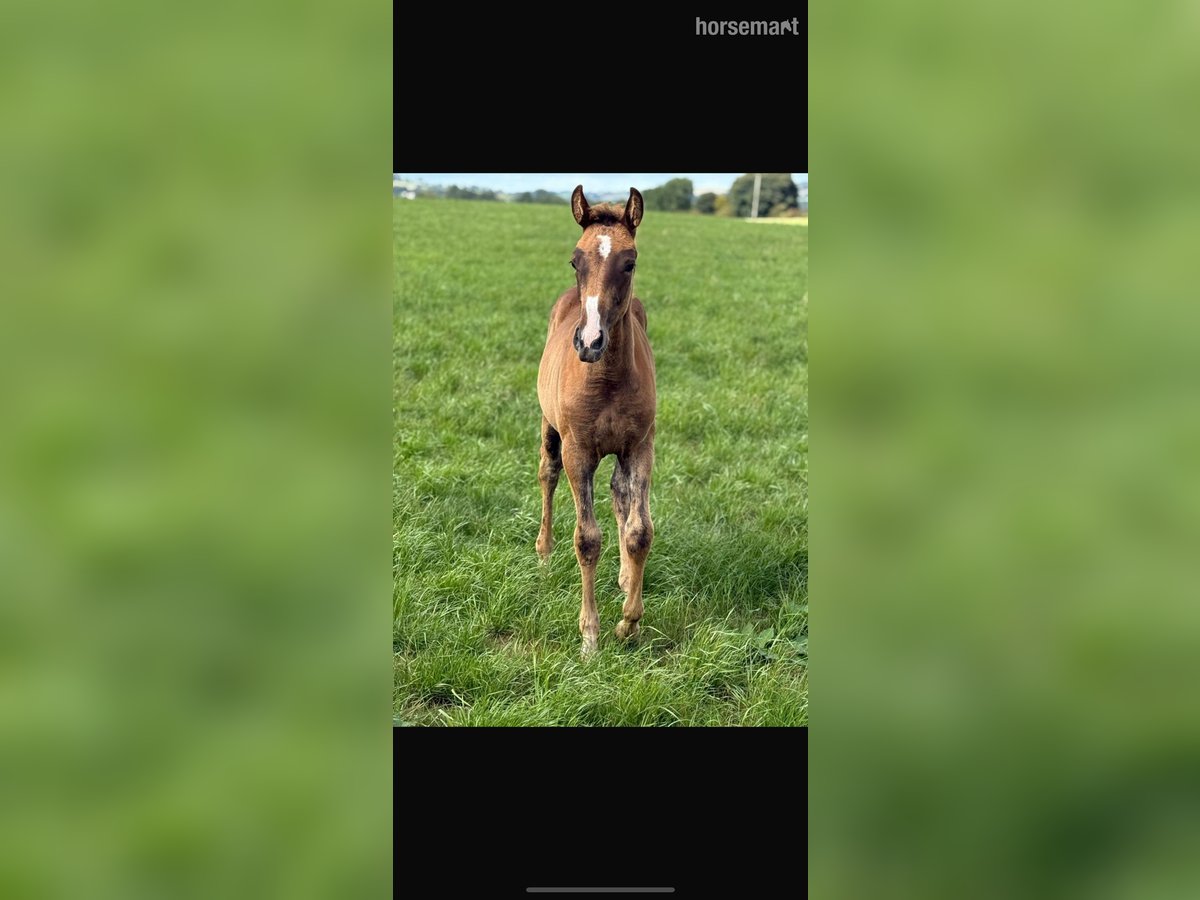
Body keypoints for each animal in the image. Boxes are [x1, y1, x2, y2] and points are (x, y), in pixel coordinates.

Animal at [536, 185, 657, 657]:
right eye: (575, 261)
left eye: (631, 262)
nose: (589, 342)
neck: (605, 378)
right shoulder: (579, 451)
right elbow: (587, 538)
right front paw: (590, 638)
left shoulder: (639, 446)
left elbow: (639, 531)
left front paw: (629, 623)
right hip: (550, 427)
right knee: (546, 473)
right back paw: (544, 553)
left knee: (621, 495)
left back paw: (625, 578)